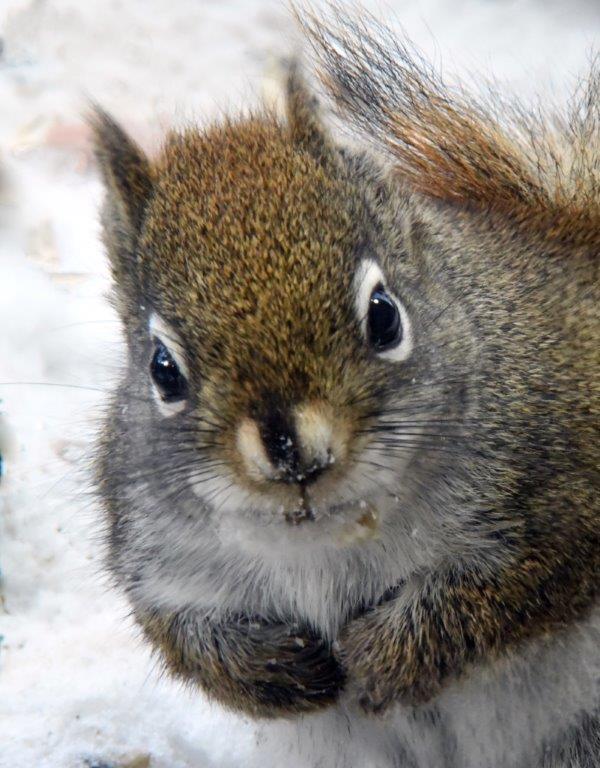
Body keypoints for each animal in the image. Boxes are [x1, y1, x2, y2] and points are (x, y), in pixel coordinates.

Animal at [92, 9, 600, 768]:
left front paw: (386, 654)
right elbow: (179, 635)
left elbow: (515, 586)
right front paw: (277, 671)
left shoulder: (566, 484)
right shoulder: (161, 558)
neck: (326, 540)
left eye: (384, 316)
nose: (289, 448)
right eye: (162, 369)